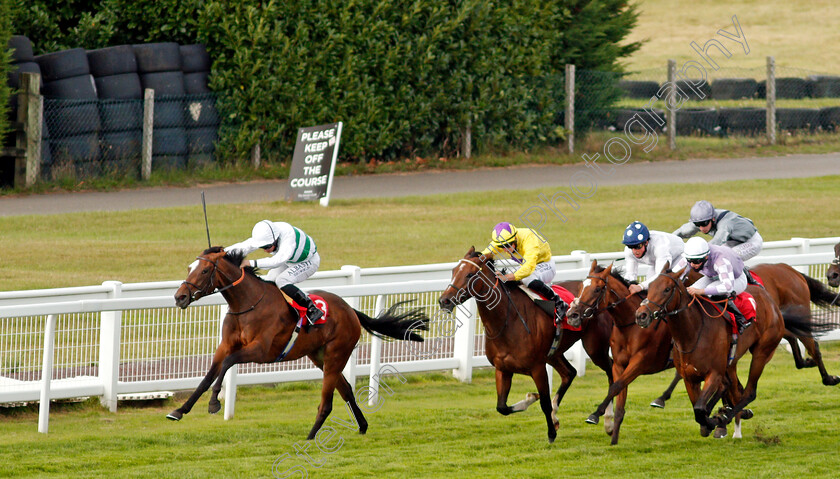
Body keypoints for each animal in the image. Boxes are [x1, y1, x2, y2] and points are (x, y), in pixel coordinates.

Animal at [172, 248, 434, 438]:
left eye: (205, 270)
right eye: (190, 267)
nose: (179, 297)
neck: (247, 304)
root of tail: (350, 310)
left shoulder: (261, 351)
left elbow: (228, 363)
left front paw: (214, 403)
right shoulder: (225, 345)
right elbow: (207, 376)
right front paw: (179, 411)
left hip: (336, 355)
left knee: (327, 402)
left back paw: (310, 437)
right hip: (320, 357)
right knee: (346, 390)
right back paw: (362, 426)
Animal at [440, 249, 612, 444]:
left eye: (469, 274)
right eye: (453, 271)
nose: (444, 300)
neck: (508, 321)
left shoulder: (537, 368)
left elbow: (544, 402)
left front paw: (551, 433)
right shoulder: (503, 369)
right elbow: (502, 407)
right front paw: (531, 398)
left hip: (595, 348)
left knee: (611, 371)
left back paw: (607, 421)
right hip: (554, 353)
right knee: (570, 373)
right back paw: (557, 416)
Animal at [564, 262, 676, 446]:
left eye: (597, 289)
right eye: (581, 287)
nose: (572, 315)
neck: (630, 325)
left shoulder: (640, 363)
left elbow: (615, 386)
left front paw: (595, 415)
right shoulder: (619, 365)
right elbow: (619, 398)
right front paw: (613, 440)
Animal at [636, 264, 812, 440]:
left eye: (667, 289)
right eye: (650, 286)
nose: (641, 315)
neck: (693, 333)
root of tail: (770, 299)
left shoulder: (714, 373)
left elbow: (700, 409)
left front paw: (715, 420)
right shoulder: (690, 378)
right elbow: (699, 408)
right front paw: (712, 419)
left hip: (762, 352)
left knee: (749, 392)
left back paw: (725, 417)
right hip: (732, 362)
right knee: (733, 388)